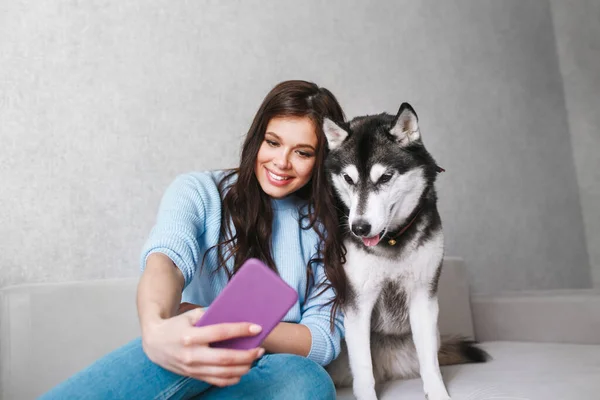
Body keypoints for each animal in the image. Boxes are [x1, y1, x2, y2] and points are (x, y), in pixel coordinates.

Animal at [324, 104, 488, 400]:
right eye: (348, 179)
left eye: (385, 177)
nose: (359, 228)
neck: (391, 240)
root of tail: (387, 368)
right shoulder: (358, 303)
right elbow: (362, 368)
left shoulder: (423, 295)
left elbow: (429, 361)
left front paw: (438, 393)